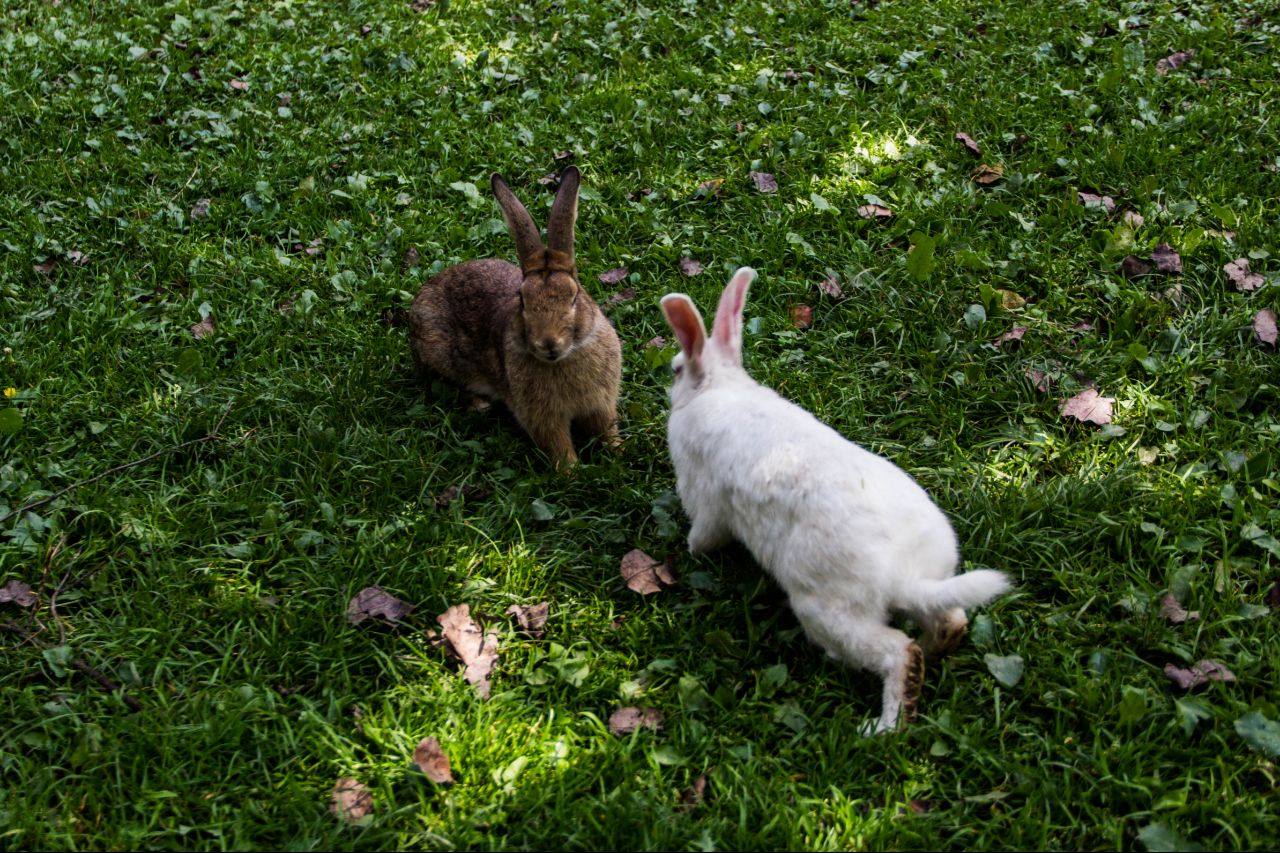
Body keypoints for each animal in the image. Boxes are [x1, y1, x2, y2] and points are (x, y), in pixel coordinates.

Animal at [407, 165, 622, 466]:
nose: (549, 343)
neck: (564, 359)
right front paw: (572, 471)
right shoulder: (543, 419)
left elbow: (606, 430)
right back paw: (480, 404)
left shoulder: (601, 405)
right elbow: (558, 447)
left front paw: (619, 452)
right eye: (522, 300)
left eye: (574, 297)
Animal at [660, 267, 1008, 732]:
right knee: (950, 621)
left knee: (897, 652)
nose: (671, 382)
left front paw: (692, 551)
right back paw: (934, 652)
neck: (718, 386)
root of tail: (903, 575)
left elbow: (704, 533)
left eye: (676, 369)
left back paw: (882, 728)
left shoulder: (705, 500)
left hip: (828, 613)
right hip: (929, 591)